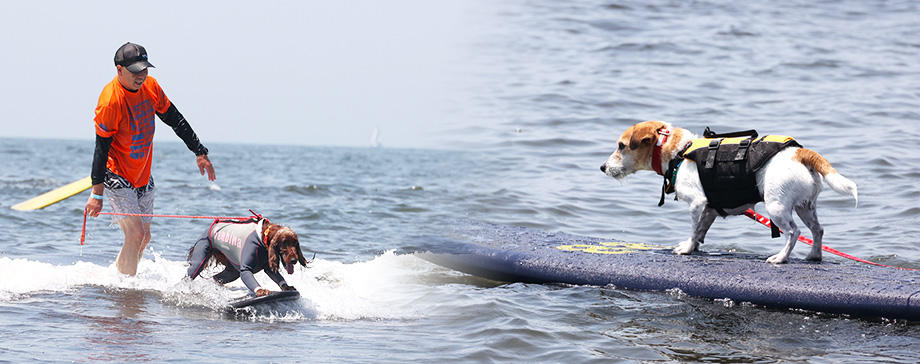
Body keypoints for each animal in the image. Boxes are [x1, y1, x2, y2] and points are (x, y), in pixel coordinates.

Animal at [600, 121, 860, 264]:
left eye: (621, 146)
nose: (602, 167)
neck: (678, 152)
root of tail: (800, 153)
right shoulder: (709, 209)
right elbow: (700, 231)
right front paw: (694, 246)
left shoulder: (697, 204)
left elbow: (693, 230)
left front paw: (686, 249)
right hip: (805, 206)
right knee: (818, 230)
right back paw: (814, 255)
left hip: (777, 207)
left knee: (793, 233)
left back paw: (781, 258)